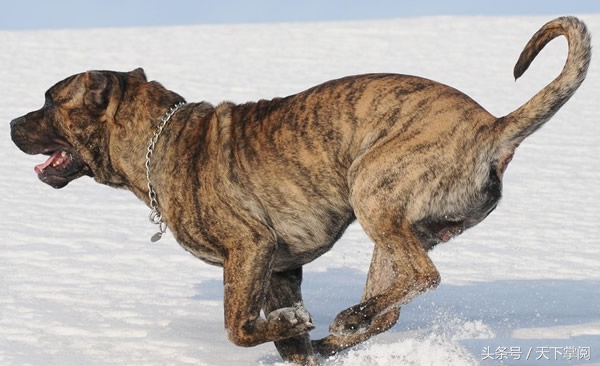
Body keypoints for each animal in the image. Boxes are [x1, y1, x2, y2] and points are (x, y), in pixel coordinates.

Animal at [9, 16, 592, 364]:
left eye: (50, 99)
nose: (12, 123)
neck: (158, 140)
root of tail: (493, 127)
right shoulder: (279, 269)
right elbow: (279, 333)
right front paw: (295, 336)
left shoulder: (250, 248)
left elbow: (238, 325)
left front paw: (288, 325)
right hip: (397, 230)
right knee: (393, 304)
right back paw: (339, 333)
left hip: (373, 188)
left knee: (423, 277)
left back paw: (347, 318)